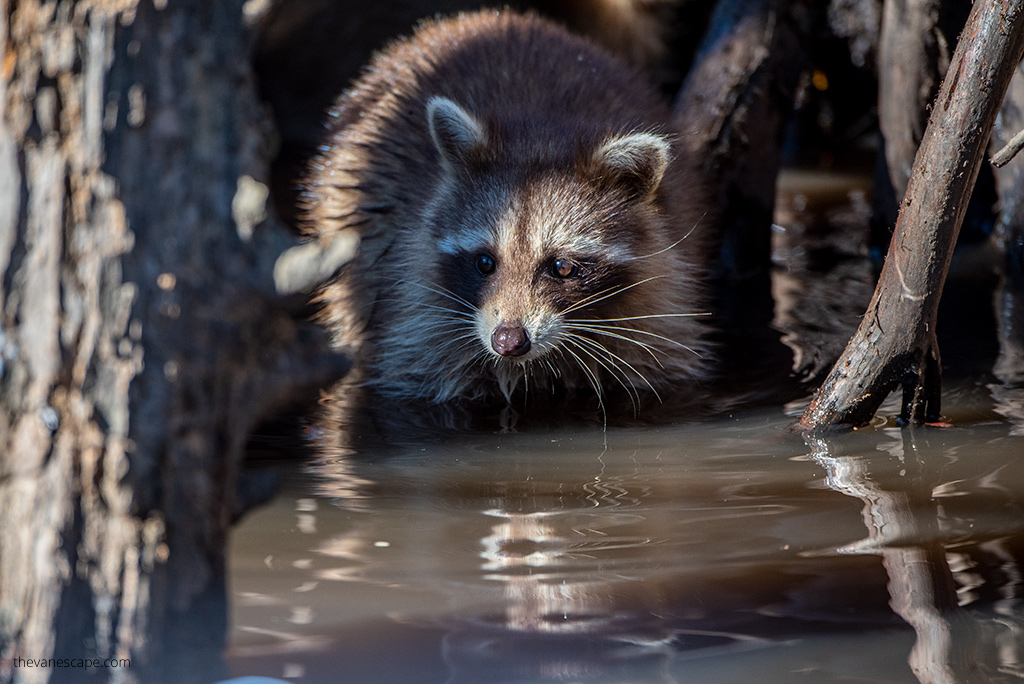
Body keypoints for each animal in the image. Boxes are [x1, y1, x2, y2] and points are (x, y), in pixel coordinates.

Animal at [299, 9, 708, 405]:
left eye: (562, 266)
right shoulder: (413, 313)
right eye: (484, 261)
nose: (508, 341)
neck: (542, 136)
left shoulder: (658, 307)